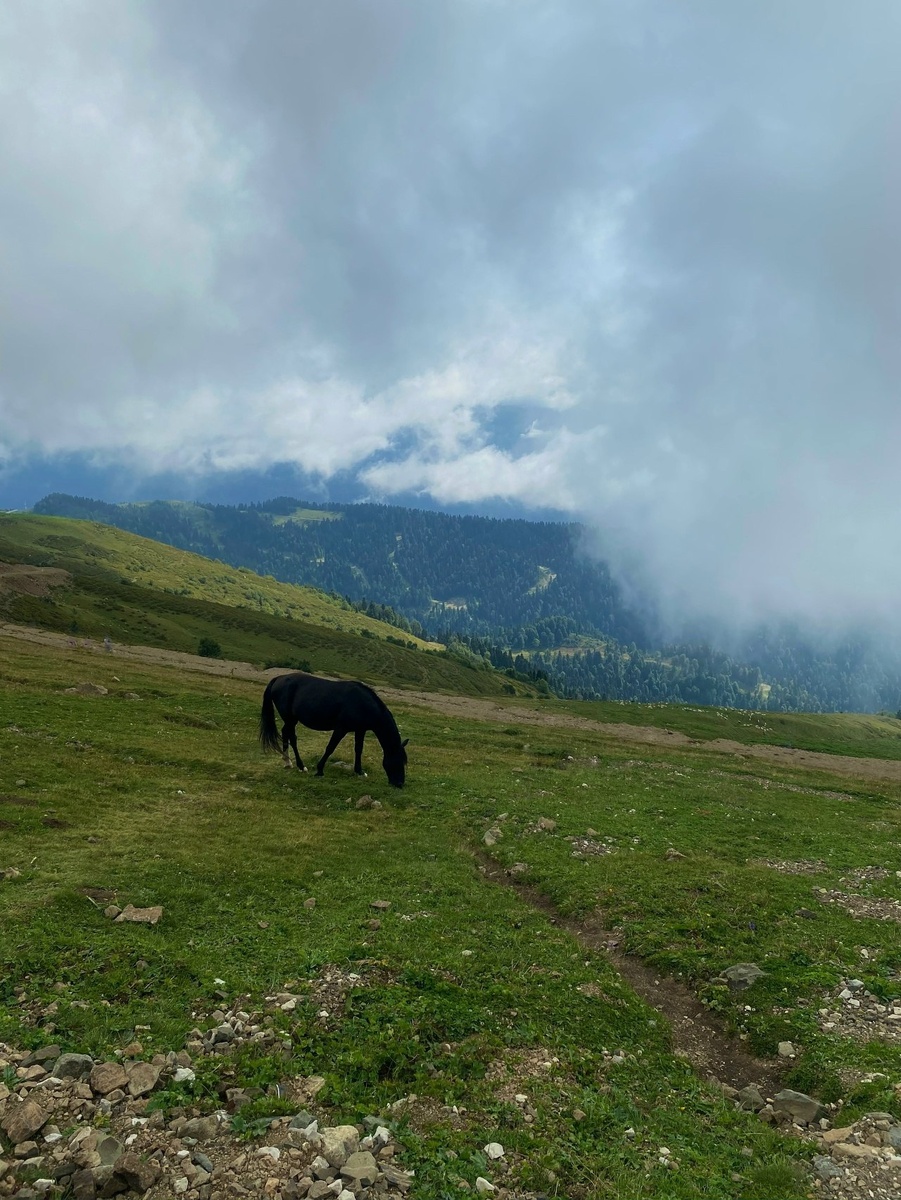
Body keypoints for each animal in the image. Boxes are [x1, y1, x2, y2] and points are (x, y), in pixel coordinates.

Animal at [259, 672, 408, 787]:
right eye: (398, 760)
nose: (399, 784)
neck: (362, 703)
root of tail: (279, 678)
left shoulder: (360, 730)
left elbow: (358, 749)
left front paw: (359, 771)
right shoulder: (341, 729)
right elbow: (330, 748)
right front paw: (319, 771)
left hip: (290, 720)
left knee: (285, 733)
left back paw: (287, 762)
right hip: (290, 719)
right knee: (292, 737)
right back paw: (301, 766)